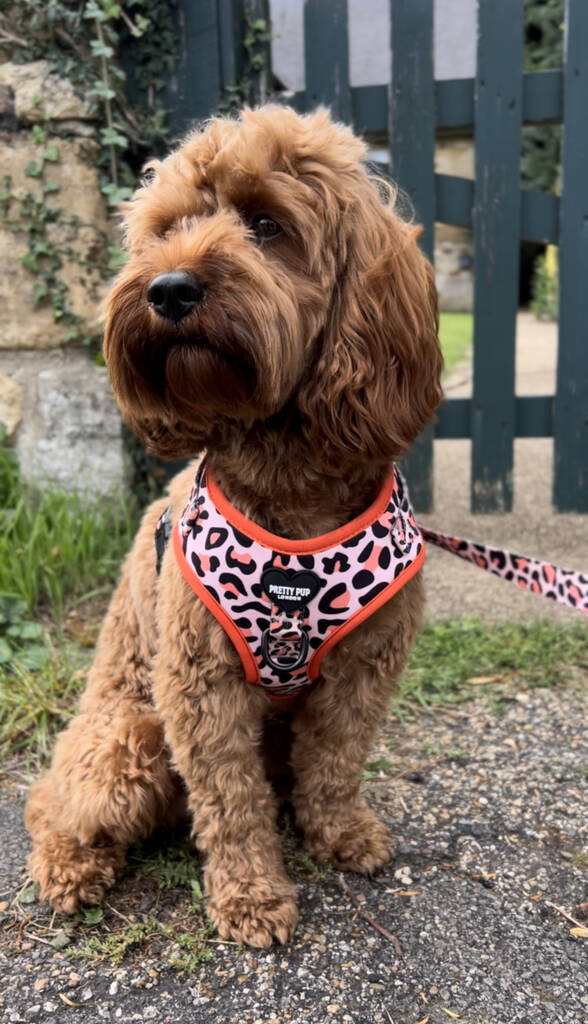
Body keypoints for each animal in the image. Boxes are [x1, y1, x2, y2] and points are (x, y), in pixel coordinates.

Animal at [26, 103, 442, 942]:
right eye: (164, 229)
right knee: (53, 801)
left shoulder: (365, 668)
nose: (168, 288)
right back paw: (69, 866)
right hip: (124, 739)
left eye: (266, 223)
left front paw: (340, 833)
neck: (291, 489)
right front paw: (251, 895)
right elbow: (230, 800)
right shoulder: (201, 683)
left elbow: (336, 761)